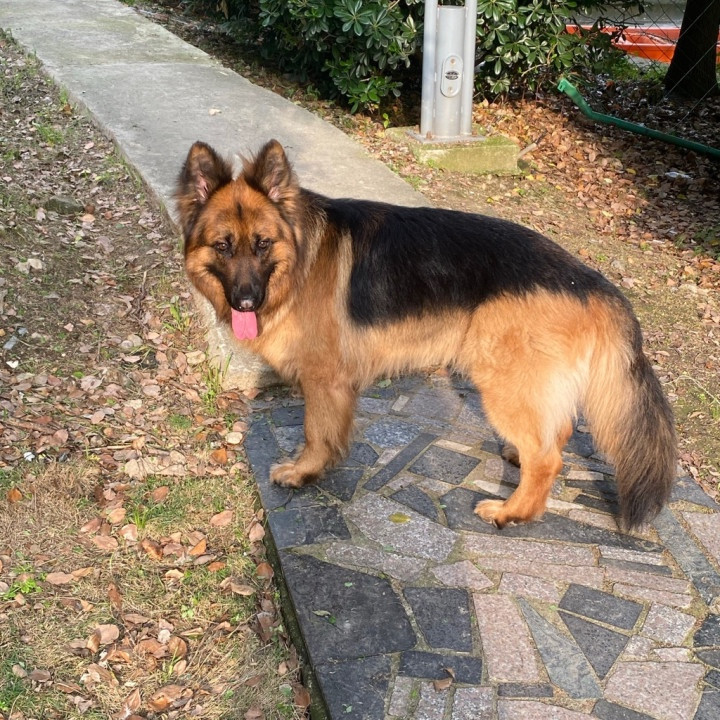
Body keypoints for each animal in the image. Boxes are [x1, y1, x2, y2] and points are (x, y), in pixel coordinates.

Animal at [175, 138, 675, 529]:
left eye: (263, 244)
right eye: (223, 246)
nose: (246, 303)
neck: (300, 257)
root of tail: (591, 281)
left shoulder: (325, 380)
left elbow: (316, 433)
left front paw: (304, 473)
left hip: (500, 383)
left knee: (548, 458)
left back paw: (511, 512)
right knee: (558, 430)